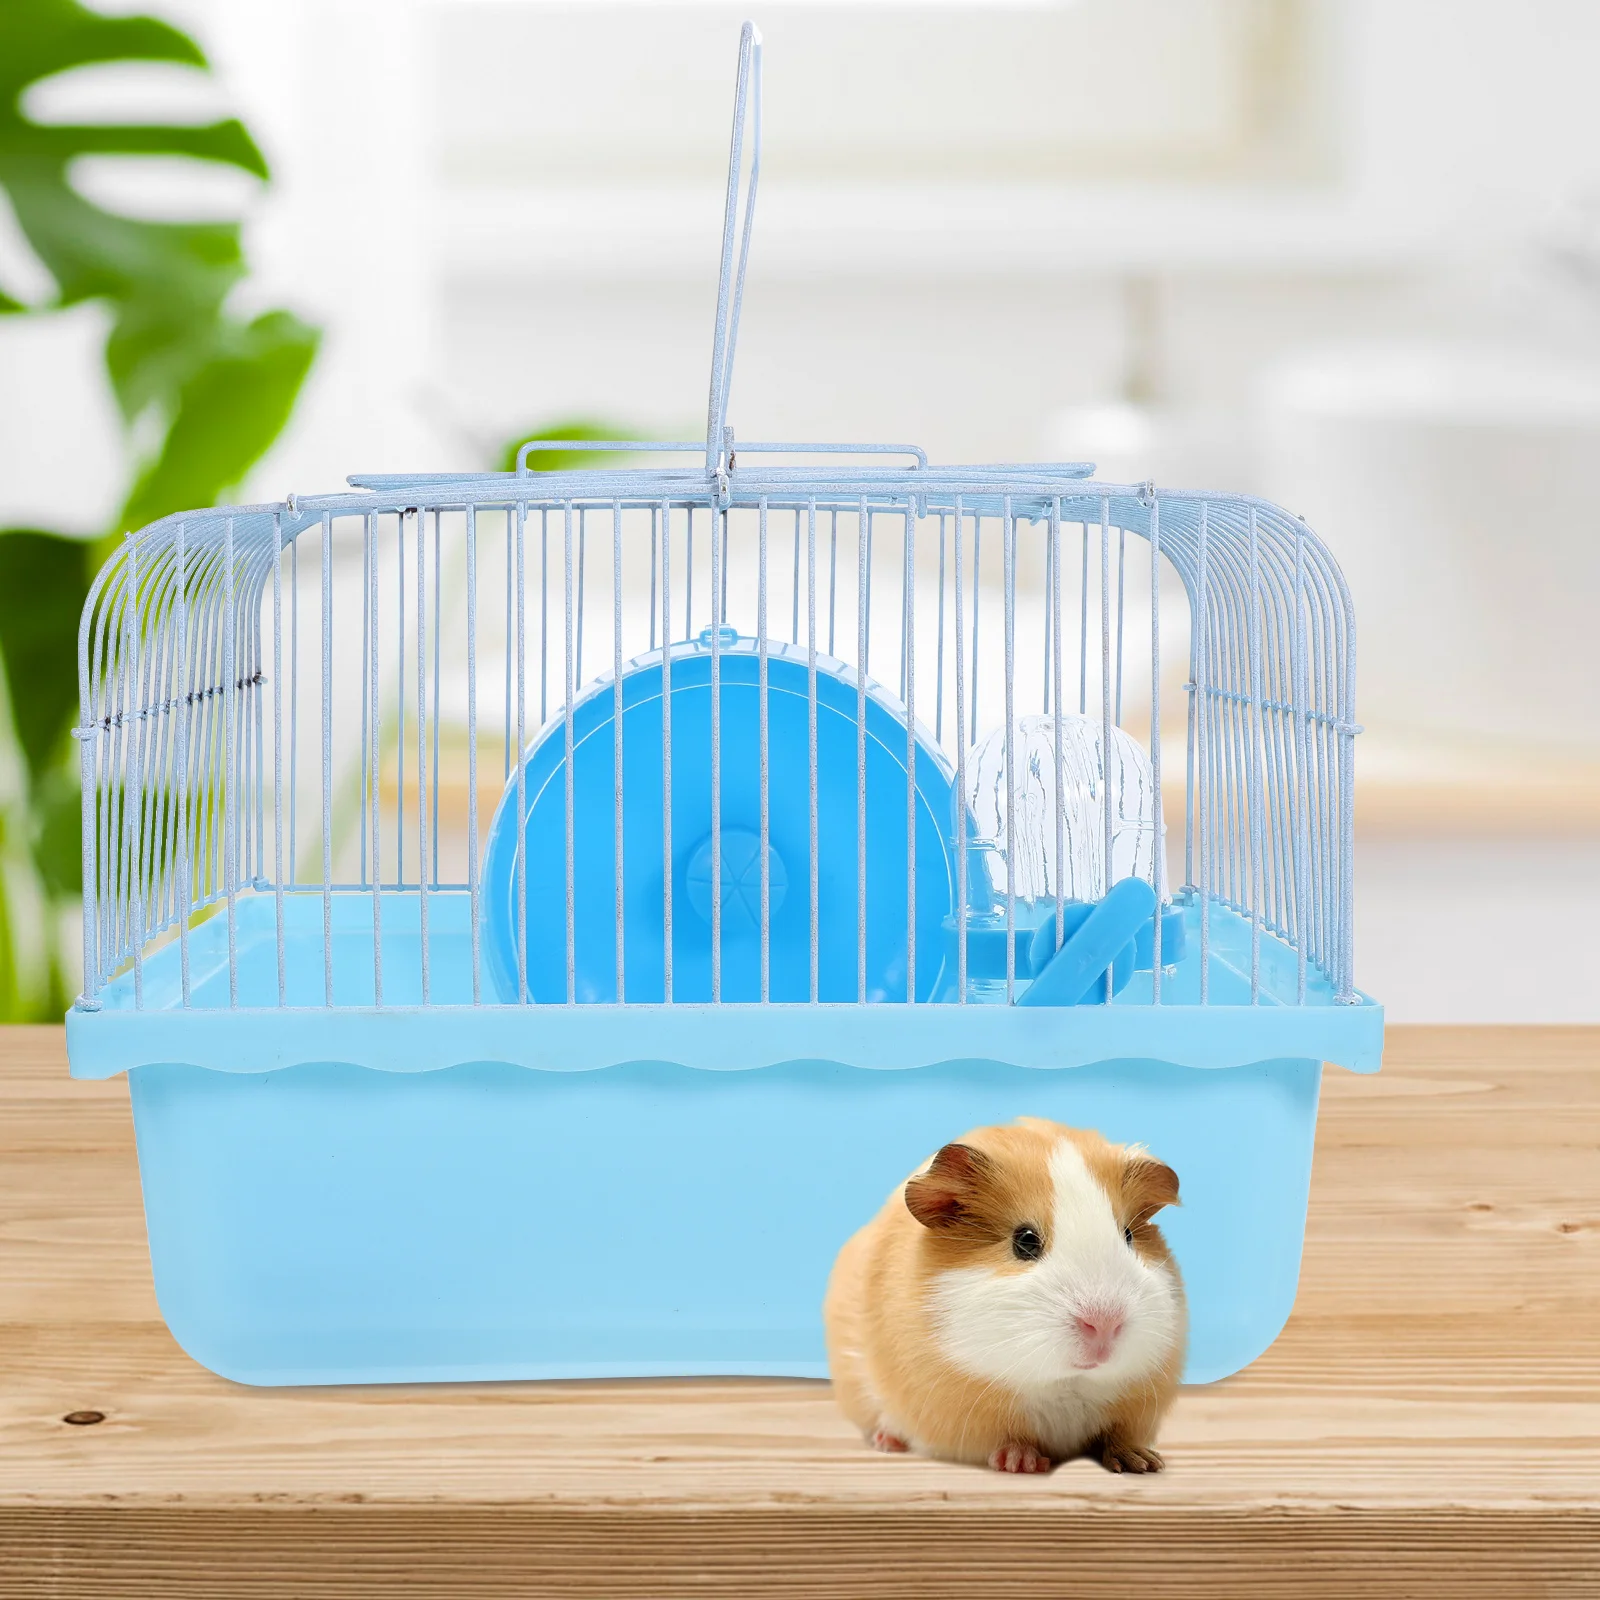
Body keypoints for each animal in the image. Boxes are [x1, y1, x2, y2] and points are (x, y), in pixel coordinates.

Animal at [823, 1117, 1185, 1474]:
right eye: (1025, 1241)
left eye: (1128, 1236)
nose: (1105, 1324)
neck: (1066, 1383)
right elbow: (1008, 1440)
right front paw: (1023, 1463)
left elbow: (1116, 1435)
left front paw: (1144, 1462)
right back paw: (888, 1442)